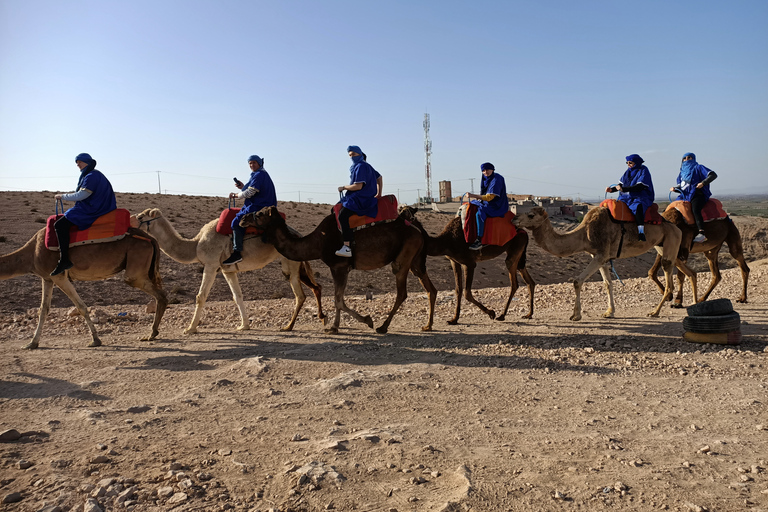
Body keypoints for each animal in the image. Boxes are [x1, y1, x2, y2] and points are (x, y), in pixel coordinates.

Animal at [0, 227, 167, 348]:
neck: (31, 253)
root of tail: (152, 239)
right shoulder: (47, 278)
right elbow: (43, 309)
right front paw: (32, 343)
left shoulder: (59, 275)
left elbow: (81, 307)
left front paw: (96, 340)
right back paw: (153, 333)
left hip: (136, 268)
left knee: (160, 294)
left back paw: (151, 334)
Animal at [134, 208, 324, 332]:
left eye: (141, 216)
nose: (132, 219)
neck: (196, 244)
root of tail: (299, 235)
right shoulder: (228, 271)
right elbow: (237, 296)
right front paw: (244, 325)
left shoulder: (211, 265)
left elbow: (200, 296)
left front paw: (190, 328)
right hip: (296, 264)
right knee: (315, 287)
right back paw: (321, 319)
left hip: (290, 263)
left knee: (300, 294)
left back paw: (289, 326)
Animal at [238, 206, 438, 334]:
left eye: (260, 213)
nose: (242, 219)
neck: (318, 242)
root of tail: (418, 230)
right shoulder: (341, 268)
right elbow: (339, 299)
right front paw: (335, 327)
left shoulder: (339, 266)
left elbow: (338, 300)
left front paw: (365, 321)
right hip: (416, 260)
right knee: (430, 288)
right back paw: (427, 325)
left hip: (404, 257)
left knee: (402, 292)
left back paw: (383, 327)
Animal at [396, 205, 536, 322]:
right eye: (400, 211)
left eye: (406, 212)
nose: (396, 219)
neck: (446, 241)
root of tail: (523, 231)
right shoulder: (454, 261)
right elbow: (458, 290)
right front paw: (454, 319)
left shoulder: (469, 263)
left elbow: (467, 293)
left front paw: (491, 313)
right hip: (518, 253)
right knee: (529, 280)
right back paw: (529, 314)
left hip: (515, 248)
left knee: (514, 282)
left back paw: (502, 315)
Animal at [510, 207, 696, 320]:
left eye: (531, 215)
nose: (514, 220)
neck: (583, 234)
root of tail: (676, 227)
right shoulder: (602, 257)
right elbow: (608, 283)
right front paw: (609, 312)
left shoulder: (600, 254)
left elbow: (577, 281)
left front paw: (576, 315)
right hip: (663, 246)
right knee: (686, 271)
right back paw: (693, 302)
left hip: (670, 242)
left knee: (669, 281)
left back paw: (655, 312)